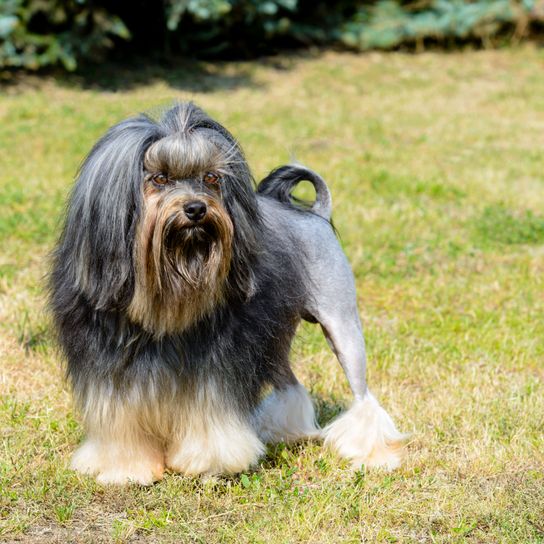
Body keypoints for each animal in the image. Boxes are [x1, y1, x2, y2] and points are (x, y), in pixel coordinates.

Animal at [49, 102, 404, 484]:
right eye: (159, 179)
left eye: (211, 178)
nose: (195, 209)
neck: (164, 291)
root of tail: (316, 215)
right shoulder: (108, 366)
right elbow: (121, 421)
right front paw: (126, 470)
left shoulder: (215, 365)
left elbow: (210, 419)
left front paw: (209, 464)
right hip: (274, 338)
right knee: (290, 383)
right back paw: (284, 431)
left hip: (341, 324)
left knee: (363, 396)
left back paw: (372, 455)